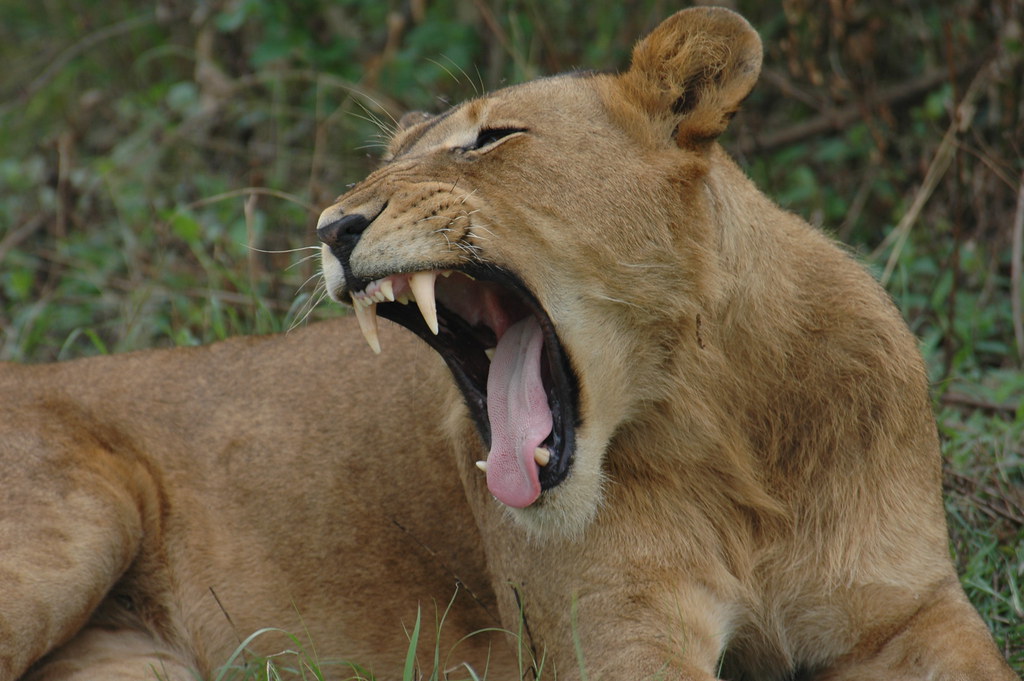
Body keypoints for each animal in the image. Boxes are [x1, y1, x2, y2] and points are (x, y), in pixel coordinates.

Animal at [0, 6, 1017, 681]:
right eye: (388, 159)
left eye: (489, 140)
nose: (332, 226)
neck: (721, 427)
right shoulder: (618, 643)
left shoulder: (908, 611)